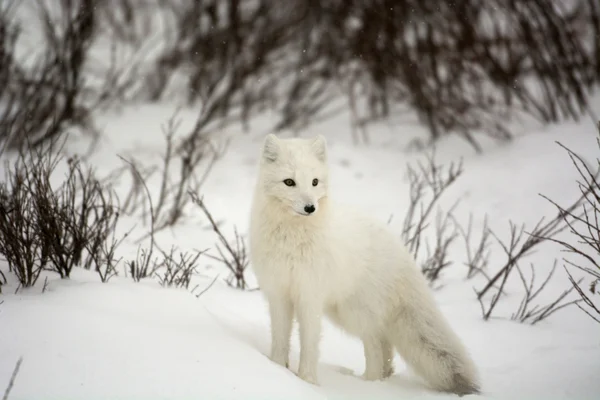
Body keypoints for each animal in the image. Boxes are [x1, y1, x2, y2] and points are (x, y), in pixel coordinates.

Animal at [251, 134, 480, 394]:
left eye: (314, 182)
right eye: (289, 182)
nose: (310, 208)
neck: (291, 240)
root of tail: (401, 251)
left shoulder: (310, 297)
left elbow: (309, 344)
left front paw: (308, 381)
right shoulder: (278, 294)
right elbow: (280, 339)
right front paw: (277, 368)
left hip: (356, 313)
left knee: (377, 346)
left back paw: (370, 383)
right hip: (345, 312)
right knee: (386, 347)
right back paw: (379, 381)